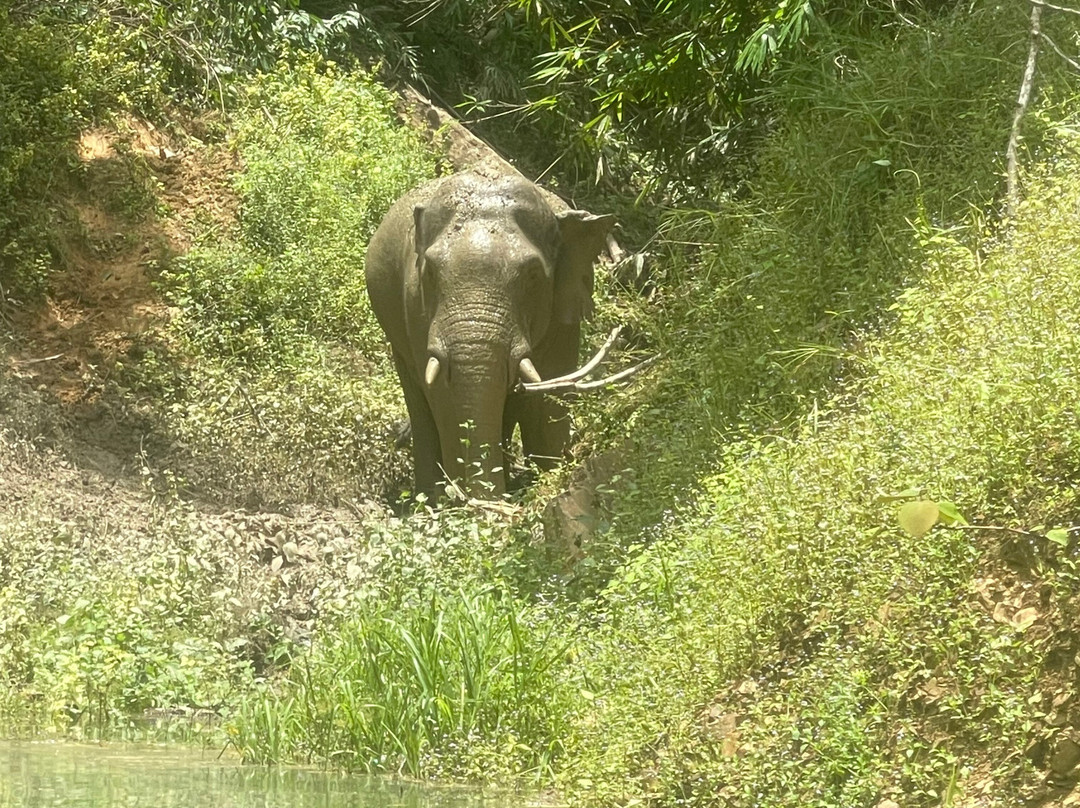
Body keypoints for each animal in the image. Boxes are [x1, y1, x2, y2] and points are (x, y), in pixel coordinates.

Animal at [365, 171, 615, 500]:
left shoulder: (562, 314)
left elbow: (548, 394)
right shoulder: (416, 311)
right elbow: (442, 397)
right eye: (429, 272)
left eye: (532, 275)